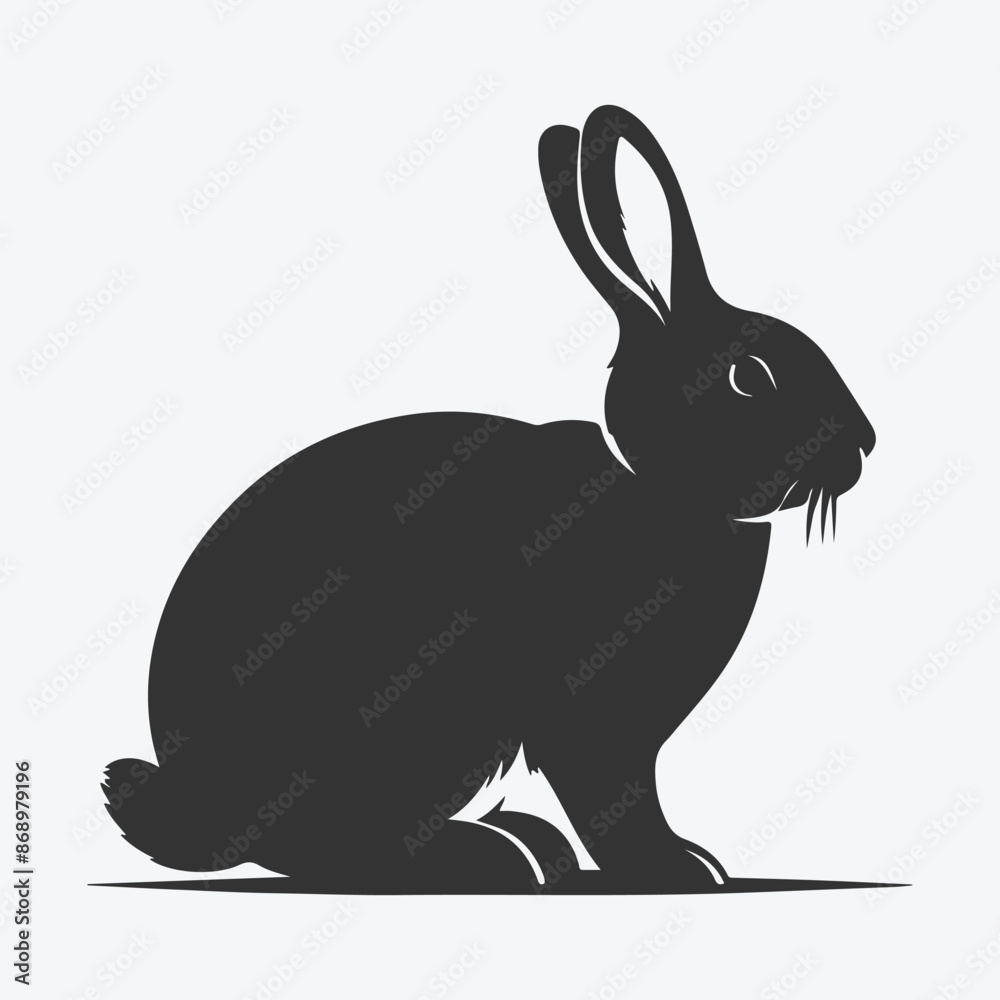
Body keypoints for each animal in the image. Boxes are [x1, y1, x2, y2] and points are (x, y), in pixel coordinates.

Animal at [102, 105, 875, 894]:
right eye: (750, 376)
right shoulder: (592, 720)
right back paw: (500, 856)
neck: (656, 483)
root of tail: (193, 800)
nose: (865, 444)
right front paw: (678, 867)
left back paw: (530, 843)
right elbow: (613, 796)